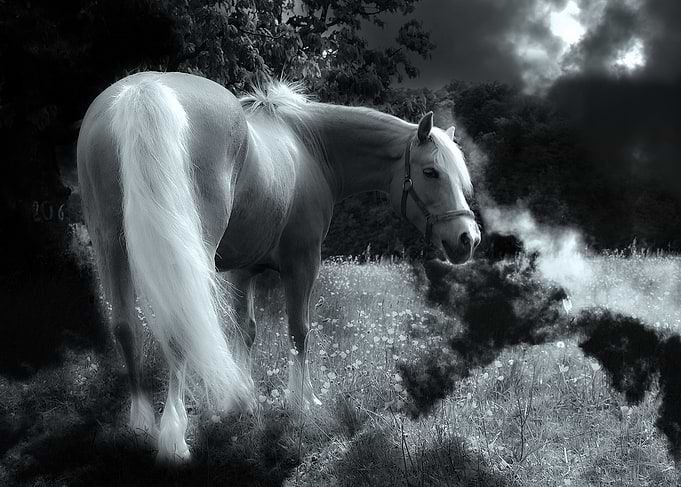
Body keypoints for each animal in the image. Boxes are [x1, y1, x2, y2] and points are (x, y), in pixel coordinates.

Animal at [76, 71, 480, 463]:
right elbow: (300, 331)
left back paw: (141, 424)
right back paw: (174, 437)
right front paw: (302, 401)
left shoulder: (241, 271)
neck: (310, 146)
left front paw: (241, 400)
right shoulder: (302, 263)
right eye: (431, 172)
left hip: (112, 245)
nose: (468, 238)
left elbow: (246, 331)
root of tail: (143, 91)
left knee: (126, 327)